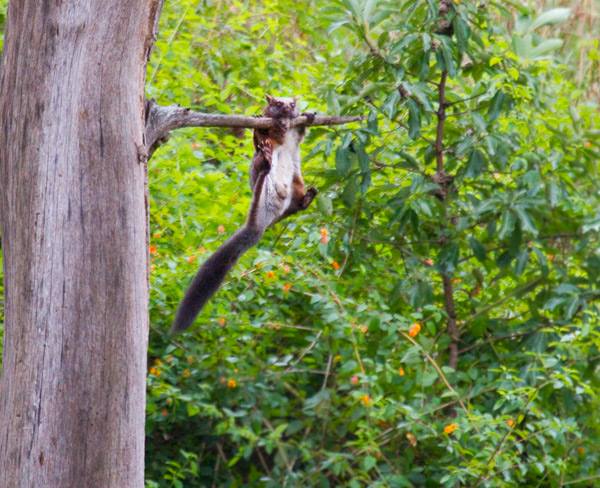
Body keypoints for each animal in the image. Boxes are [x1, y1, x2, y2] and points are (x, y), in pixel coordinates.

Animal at [171, 95, 316, 332]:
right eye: (276, 103)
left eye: (292, 104)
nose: (287, 108)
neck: (287, 128)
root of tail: (267, 219)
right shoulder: (270, 132)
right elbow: (262, 133)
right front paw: (266, 122)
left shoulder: (295, 135)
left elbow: (301, 132)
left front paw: (309, 116)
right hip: (261, 185)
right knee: (260, 163)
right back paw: (265, 164)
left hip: (296, 184)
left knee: (297, 204)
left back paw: (306, 199)